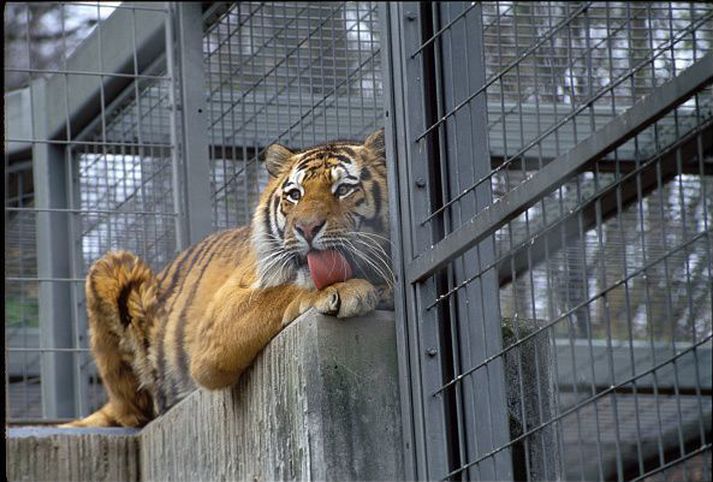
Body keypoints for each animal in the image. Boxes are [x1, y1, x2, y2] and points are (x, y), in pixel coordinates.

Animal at [62, 128, 392, 426]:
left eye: (343, 189)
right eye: (295, 195)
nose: (306, 228)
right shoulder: (216, 327)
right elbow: (277, 294)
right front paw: (348, 290)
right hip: (110, 266)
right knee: (133, 413)